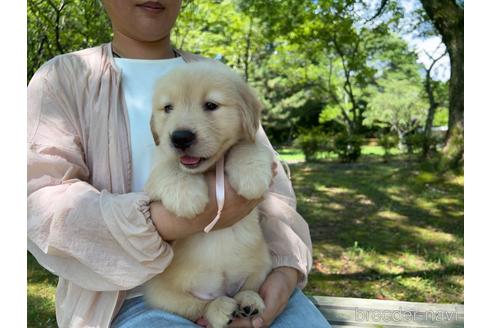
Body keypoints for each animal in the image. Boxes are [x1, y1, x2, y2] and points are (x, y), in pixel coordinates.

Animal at [143, 60, 272, 326]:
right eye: (167, 108)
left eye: (211, 105)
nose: (180, 138)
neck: (211, 168)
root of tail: (222, 289)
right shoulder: (151, 183)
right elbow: (169, 166)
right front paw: (186, 197)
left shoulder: (248, 143)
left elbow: (245, 146)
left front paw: (252, 173)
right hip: (162, 294)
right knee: (198, 307)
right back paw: (222, 309)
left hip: (264, 260)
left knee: (251, 285)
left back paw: (249, 302)